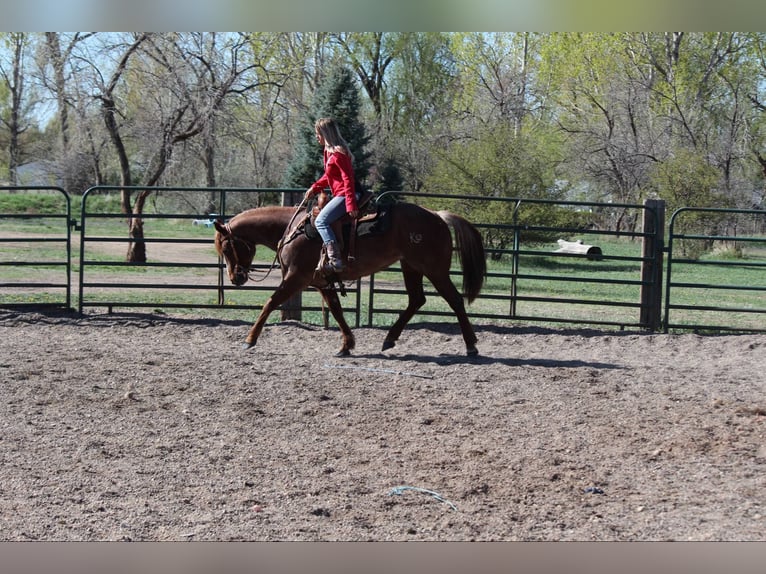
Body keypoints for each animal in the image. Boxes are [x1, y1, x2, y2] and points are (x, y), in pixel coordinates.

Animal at [214, 200, 486, 356]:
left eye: (226, 248)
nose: (235, 278)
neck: (292, 230)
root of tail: (438, 216)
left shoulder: (296, 278)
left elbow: (270, 303)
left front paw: (250, 340)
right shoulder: (321, 281)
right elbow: (336, 310)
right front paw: (346, 345)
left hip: (434, 269)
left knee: (454, 300)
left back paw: (471, 345)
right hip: (411, 266)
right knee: (416, 300)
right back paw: (389, 339)